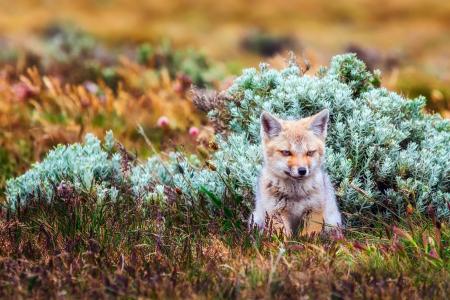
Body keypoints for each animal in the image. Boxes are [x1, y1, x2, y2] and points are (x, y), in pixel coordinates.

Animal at [251, 109, 342, 238]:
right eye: (286, 152)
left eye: (310, 152)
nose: (302, 170)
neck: (296, 194)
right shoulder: (276, 212)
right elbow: (282, 238)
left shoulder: (314, 210)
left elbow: (309, 236)